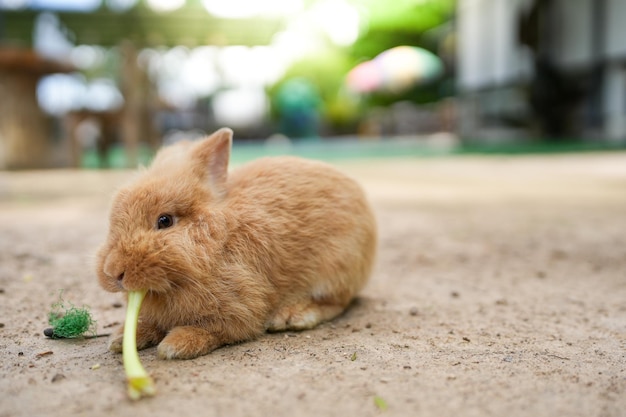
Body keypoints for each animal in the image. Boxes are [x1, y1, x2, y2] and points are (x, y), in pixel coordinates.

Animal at [95, 127, 372, 358]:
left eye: (165, 221)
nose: (113, 271)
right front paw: (121, 338)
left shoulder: (240, 309)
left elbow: (217, 330)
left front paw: (176, 345)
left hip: (334, 269)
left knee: (336, 303)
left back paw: (292, 316)